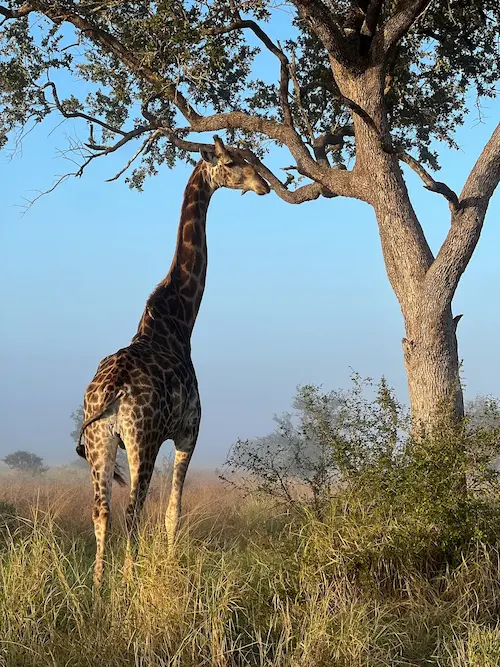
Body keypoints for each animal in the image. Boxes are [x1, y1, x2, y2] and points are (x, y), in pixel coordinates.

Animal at [77, 135, 270, 586]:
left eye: (252, 159)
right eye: (231, 163)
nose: (265, 185)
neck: (179, 321)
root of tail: (109, 395)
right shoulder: (189, 432)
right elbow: (173, 510)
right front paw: (168, 565)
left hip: (100, 442)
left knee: (101, 510)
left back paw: (98, 584)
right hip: (141, 439)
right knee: (133, 510)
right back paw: (126, 581)